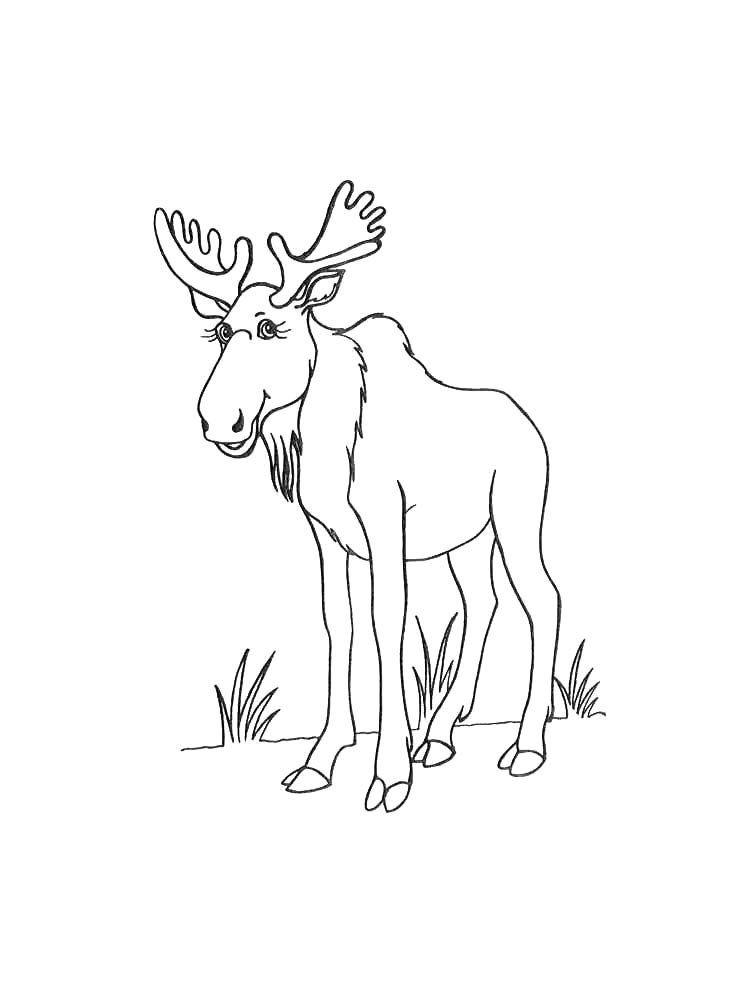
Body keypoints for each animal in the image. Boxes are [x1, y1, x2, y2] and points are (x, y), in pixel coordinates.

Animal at [154, 181, 561, 813]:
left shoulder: (384, 526)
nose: (220, 420)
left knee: (543, 599)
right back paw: (439, 734)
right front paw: (322, 758)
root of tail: (531, 426)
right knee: (482, 602)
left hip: (517, 518)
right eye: (221, 331)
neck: (318, 442)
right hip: (467, 541)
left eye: (270, 327)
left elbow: (386, 625)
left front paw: (390, 773)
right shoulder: (328, 536)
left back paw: (525, 745)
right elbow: (338, 625)